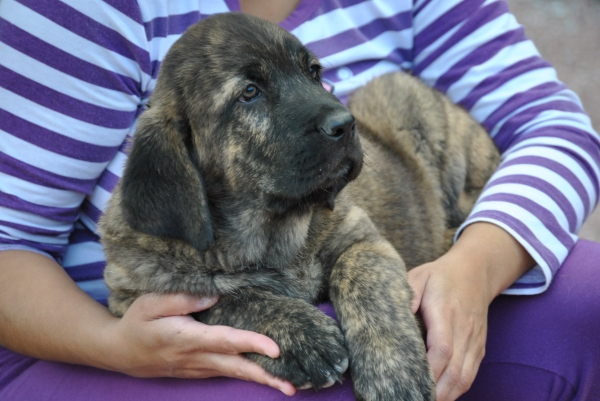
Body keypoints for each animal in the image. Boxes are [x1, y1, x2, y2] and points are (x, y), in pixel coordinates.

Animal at [99, 12, 502, 400]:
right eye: (250, 92)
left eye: (314, 73)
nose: (346, 125)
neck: (272, 231)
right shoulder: (132, 295)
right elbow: (222, 298)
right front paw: (302, 336)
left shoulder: (362, 238)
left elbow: (362, 276)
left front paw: (394, 373)